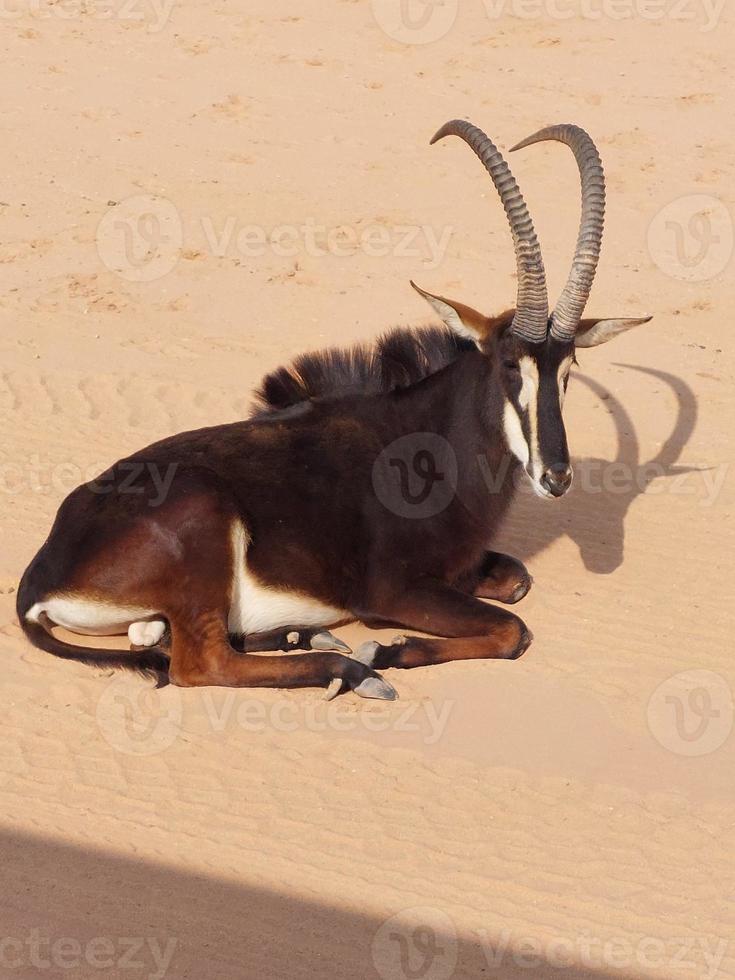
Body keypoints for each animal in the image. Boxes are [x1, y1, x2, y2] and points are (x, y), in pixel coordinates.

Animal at [17, 122, 648, 700]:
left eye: (567, 371)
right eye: (511, 367)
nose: (556, 477)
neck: (430, 443)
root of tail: (43, 570)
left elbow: (517, 582)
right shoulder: (391, 591)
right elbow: (513, 629)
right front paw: (384, 650)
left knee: (168, 639)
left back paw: (305, 637)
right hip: (202, 526)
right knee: (200, 664)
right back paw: (346, 667)